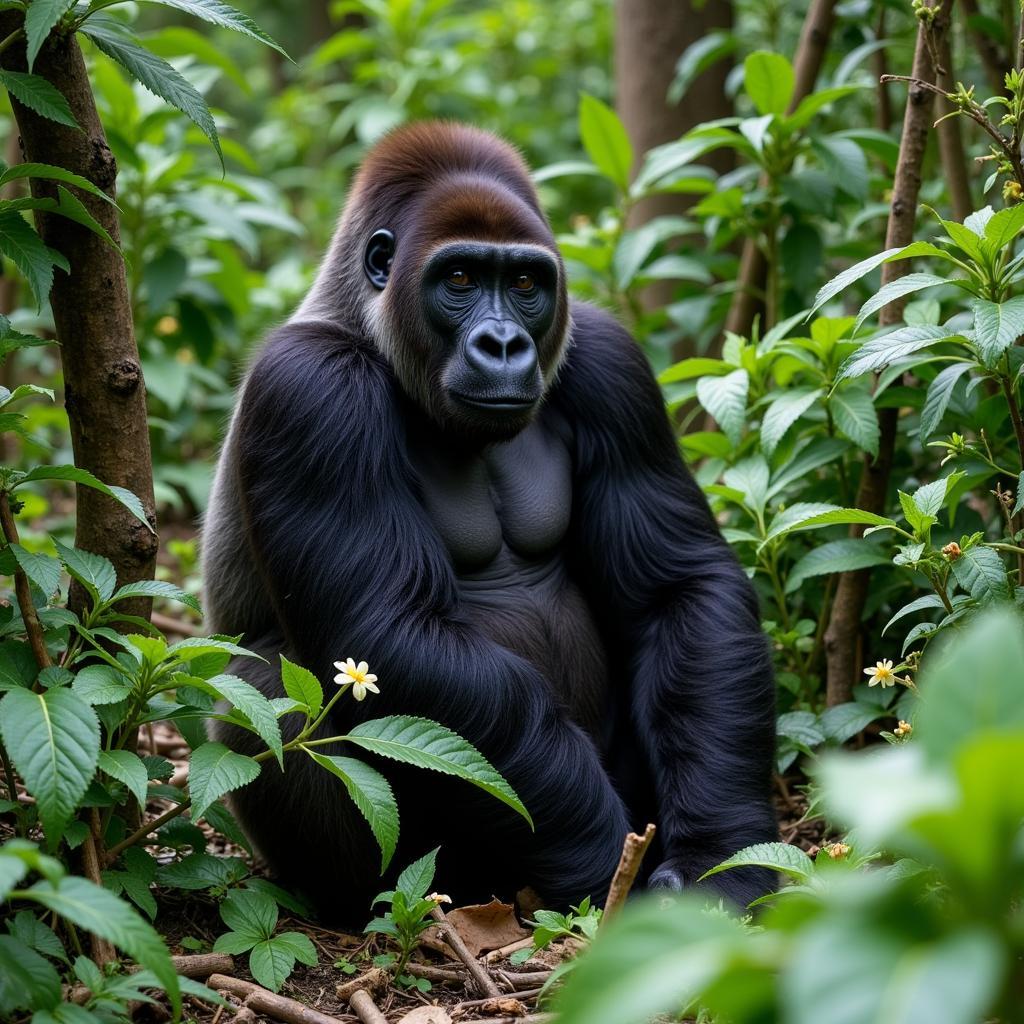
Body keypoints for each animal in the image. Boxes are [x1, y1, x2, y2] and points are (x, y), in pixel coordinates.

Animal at [201, 119, 774, 921]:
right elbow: (392, 632)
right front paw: (603, 861)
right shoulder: (309, 388)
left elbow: (680, 590)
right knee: (265, 690)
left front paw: (724, 859)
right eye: (461, 281)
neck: (368, 328)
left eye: (526, 285)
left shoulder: (611, 360)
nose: (503, 344)